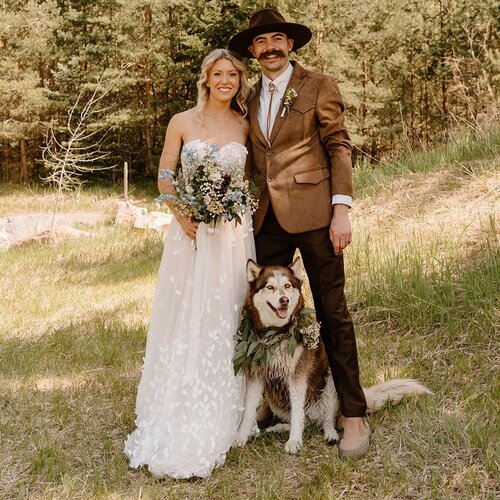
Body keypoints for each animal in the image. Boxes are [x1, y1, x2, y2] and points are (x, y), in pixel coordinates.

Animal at [233, 258, 432, 454]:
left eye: (287, 285)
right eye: (270, 287)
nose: (284, 300)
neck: (277, 333)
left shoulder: (297, 376)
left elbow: (297, 412)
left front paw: (294, 441)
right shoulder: (257, 376)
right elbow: (248, 410)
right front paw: (241, 437)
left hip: (331, 383)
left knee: (324, 420)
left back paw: (331, 435)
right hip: (275, 398)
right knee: (306, 421)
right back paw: (278, 427)